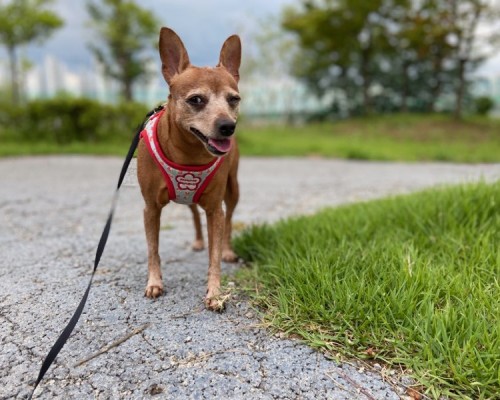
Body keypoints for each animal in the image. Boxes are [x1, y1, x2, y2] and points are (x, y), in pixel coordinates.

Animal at [135, 28, 240, 312]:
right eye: (196, 99)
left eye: (234, 99)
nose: (228, 126)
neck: (189, 156)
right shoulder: (150, 208)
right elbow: (153, 249)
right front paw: (154, 282)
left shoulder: (215, 209)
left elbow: (215, 256)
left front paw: (215, 292)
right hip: (188, 197)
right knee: (193, 212)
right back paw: (198, 240)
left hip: (233, 189)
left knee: (229, 219)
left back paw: (227, 249)